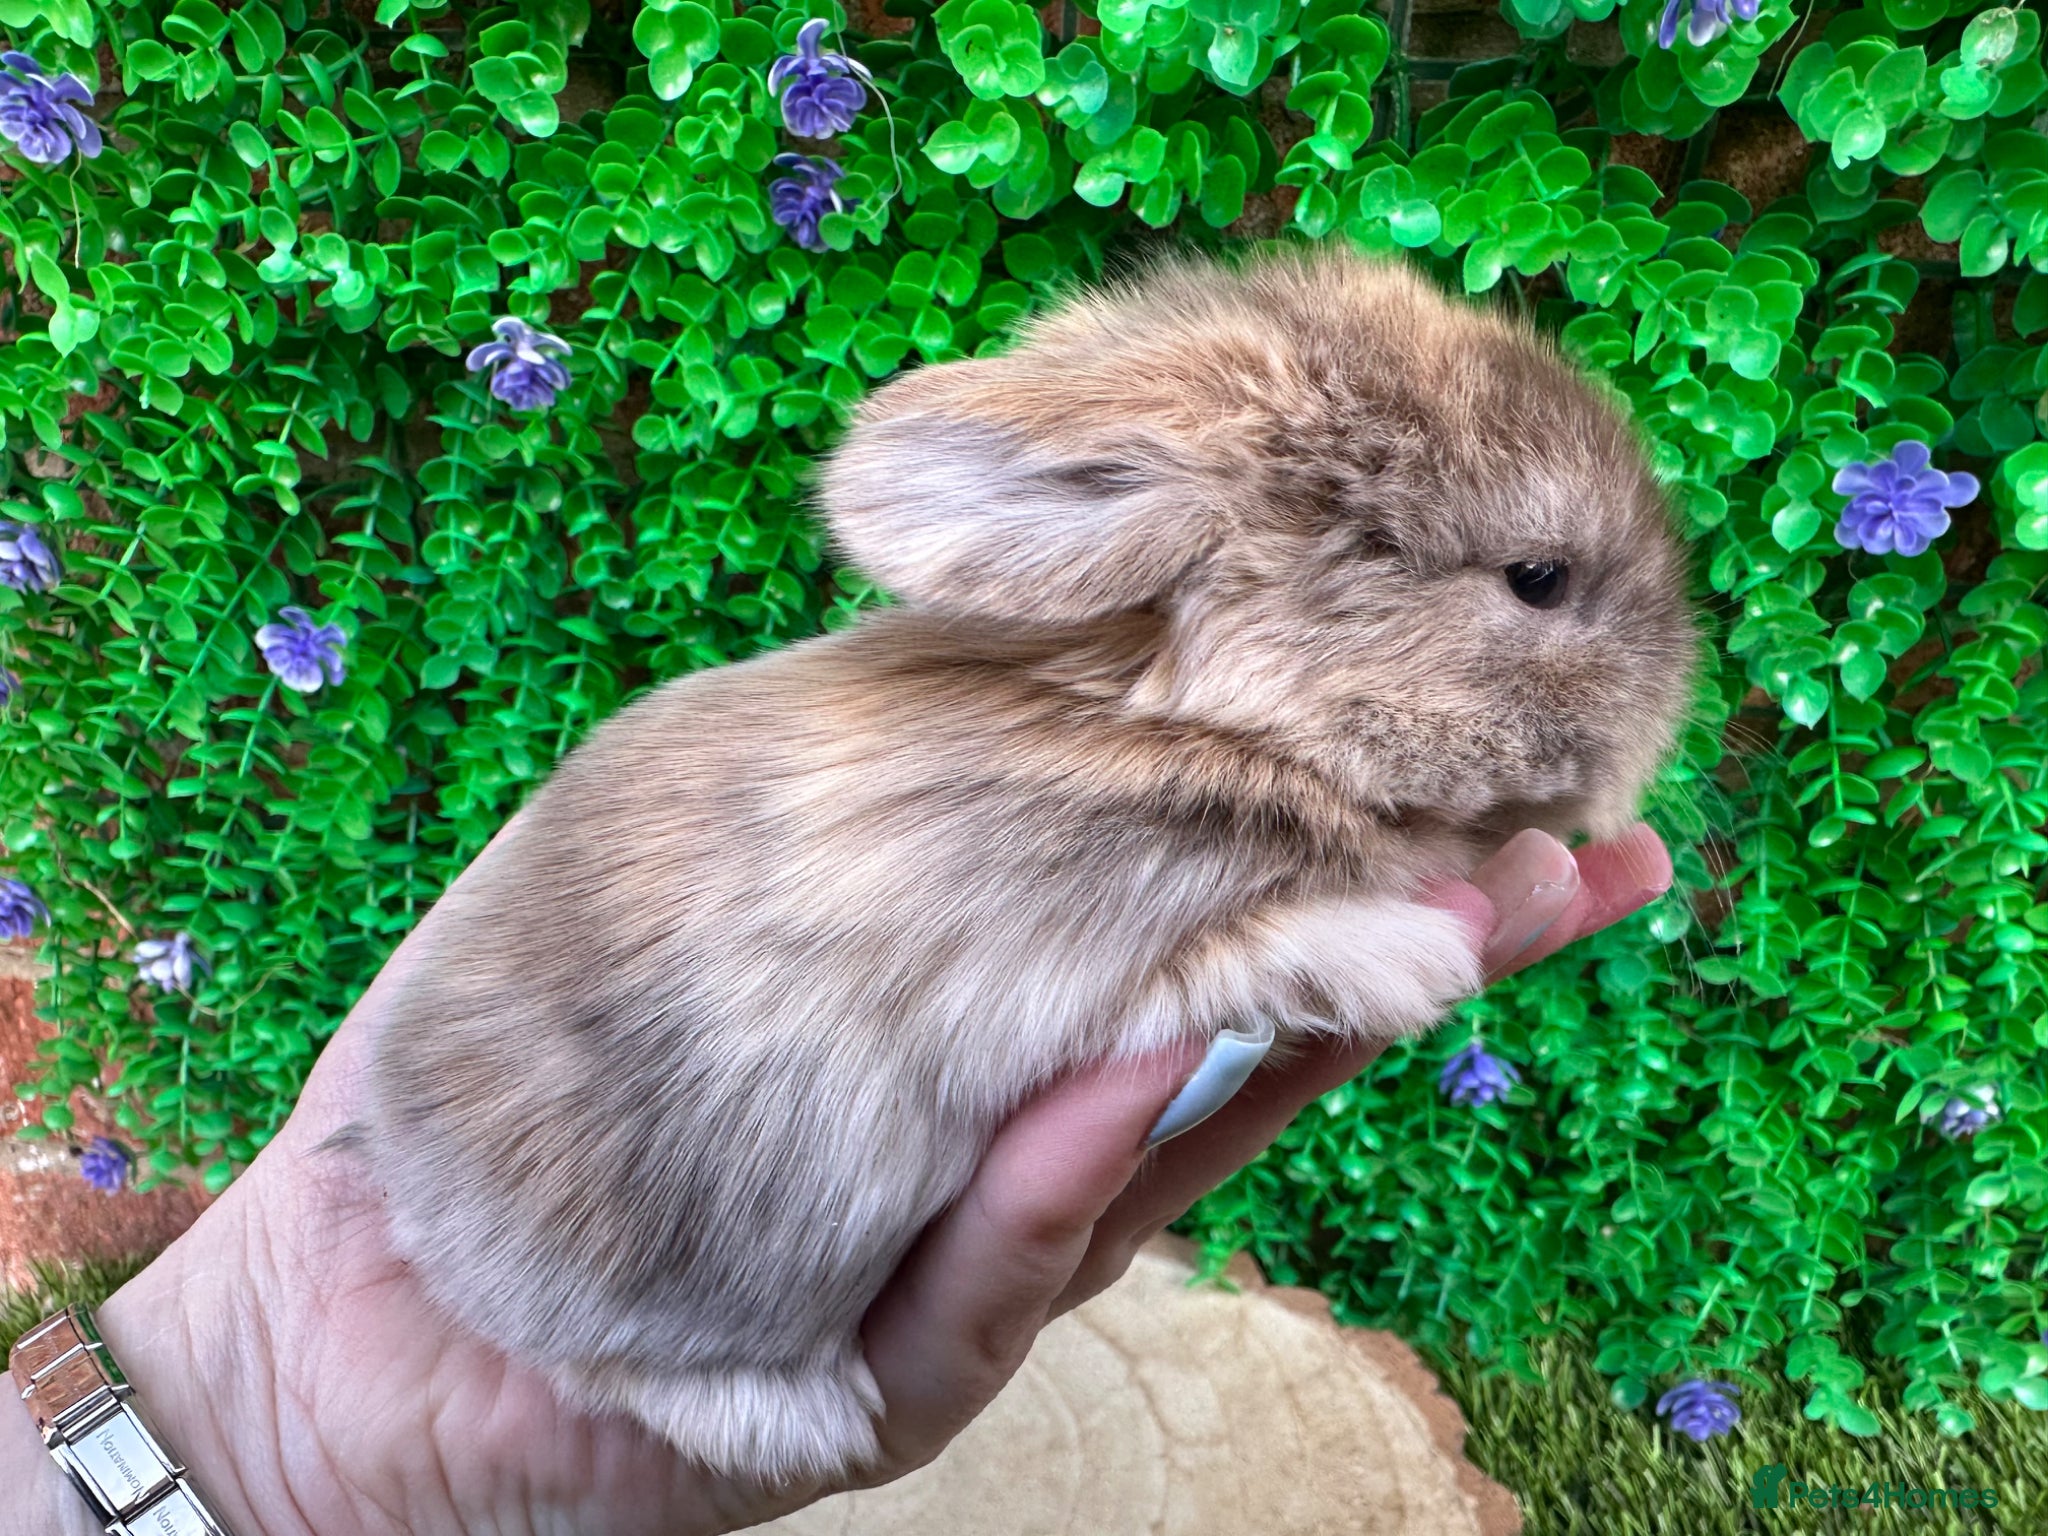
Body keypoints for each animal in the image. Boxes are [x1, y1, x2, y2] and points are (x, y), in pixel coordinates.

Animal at [361, 244, 1698, 1487]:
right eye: (1537, 578)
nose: (1682, 692)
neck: (1199, 723)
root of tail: (406, 1189)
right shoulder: (1061, 971)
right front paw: (1406, 955)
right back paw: (798, 1418)